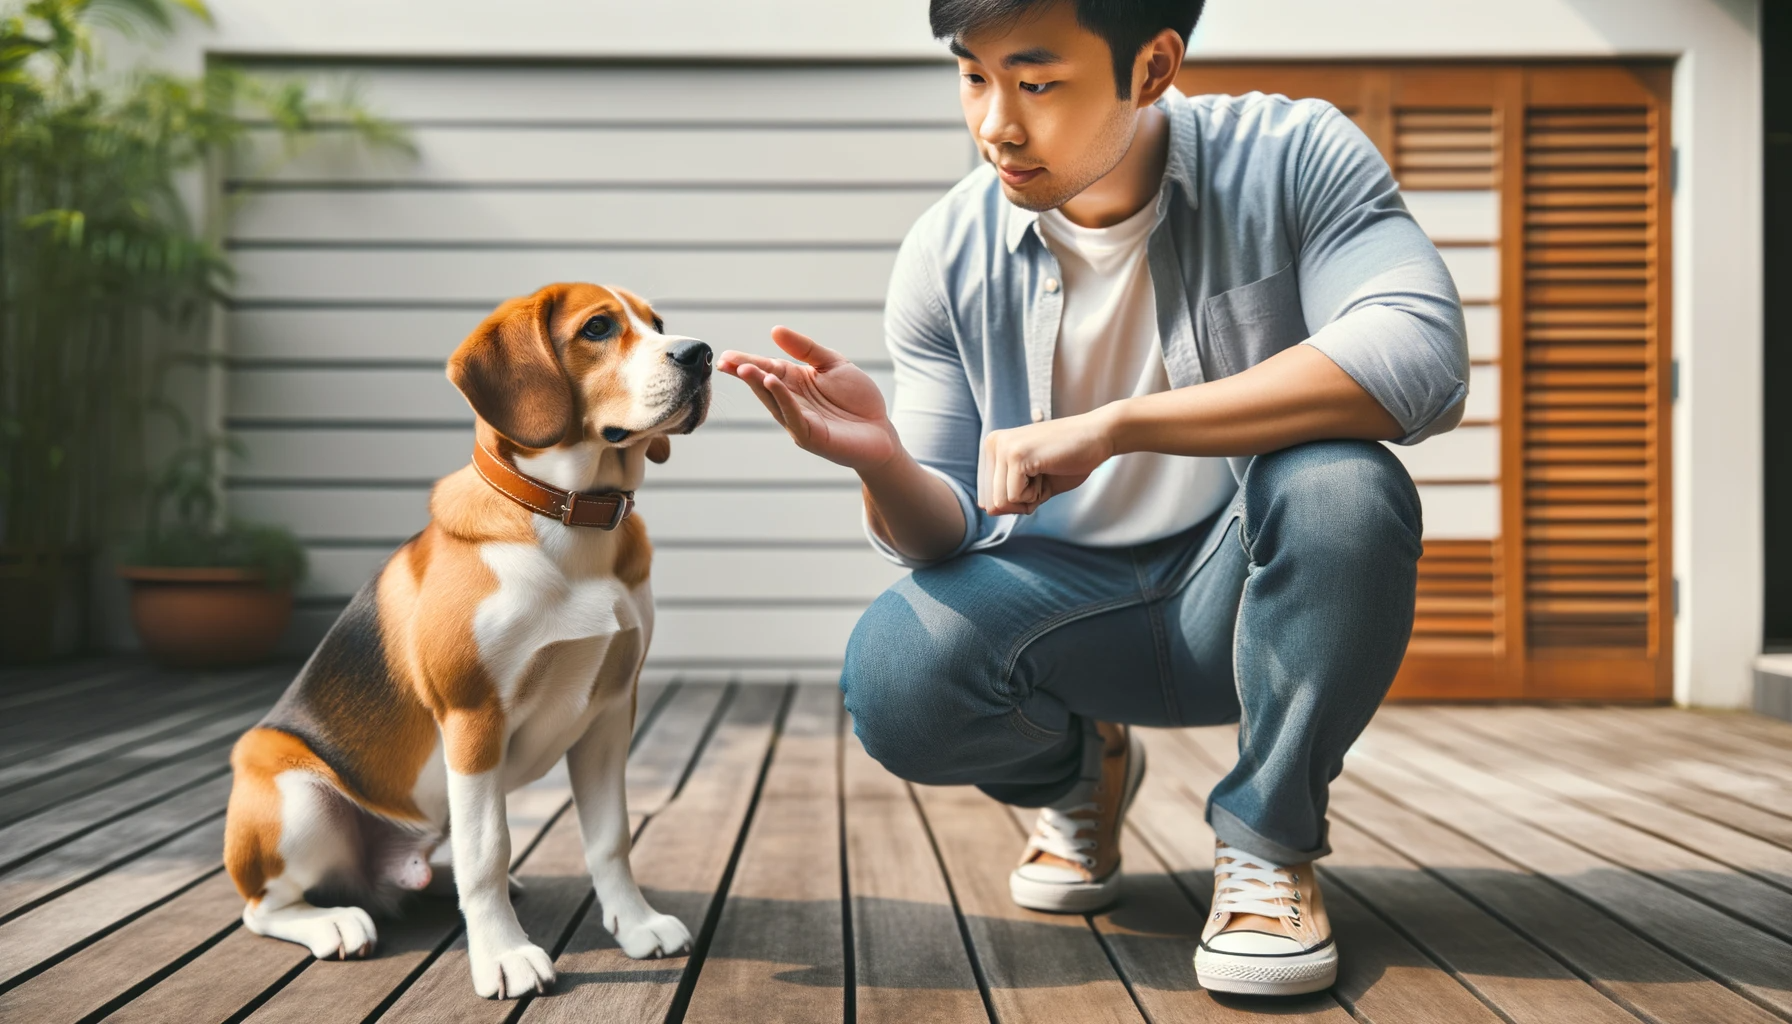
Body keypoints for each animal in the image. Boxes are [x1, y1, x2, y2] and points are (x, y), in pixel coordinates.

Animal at [216, 283, 706, 1004]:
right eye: (597, 328)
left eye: (659, 323)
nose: (702, 354)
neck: (569, 517)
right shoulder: (474, 719)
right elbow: (487, 851)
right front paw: (502, 954)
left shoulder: (612, 711)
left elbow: (610, 837)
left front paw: (637, 924)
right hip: (294, 794)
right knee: (263, 908)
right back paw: (333, 922)